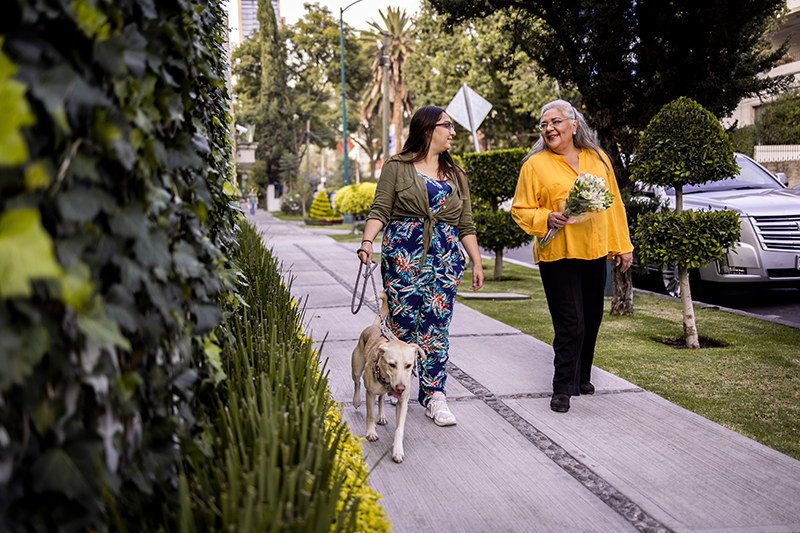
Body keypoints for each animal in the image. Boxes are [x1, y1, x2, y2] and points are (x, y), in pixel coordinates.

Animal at [352, 290, 424, 462]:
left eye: (409, 365)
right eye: (392, 364)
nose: (400, 387)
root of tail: (374, 326)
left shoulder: (402, 402)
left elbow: (399, 428)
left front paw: (397, 449)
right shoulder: (370, 393)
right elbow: (370, 415)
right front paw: (371, 432)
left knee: (382, 399)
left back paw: (382, 415)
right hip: (356, 368)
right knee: (357, 383)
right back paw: (356, 401)